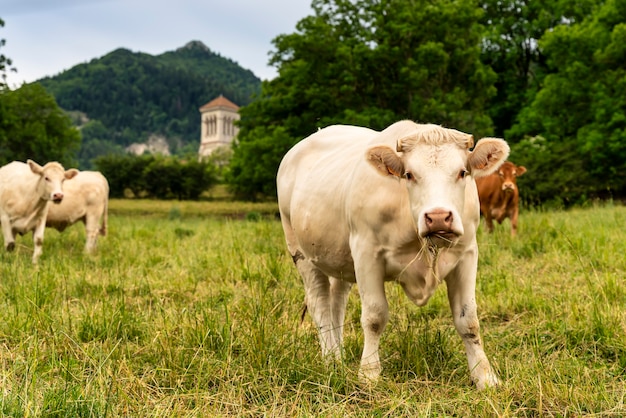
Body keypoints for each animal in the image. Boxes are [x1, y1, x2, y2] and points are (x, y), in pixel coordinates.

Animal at [278, 120, 508, 388]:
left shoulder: (467, 253)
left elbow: (468, 319)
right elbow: (374, 316)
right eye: (409, 174)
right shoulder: (366, 252)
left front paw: (485, 377)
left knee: (337, 303)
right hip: (300, 251)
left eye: (462, 172)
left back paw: (340, 357)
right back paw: (331, 361)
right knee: (320, 305)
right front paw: (369, 374)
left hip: (338, 259)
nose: (439, 217)